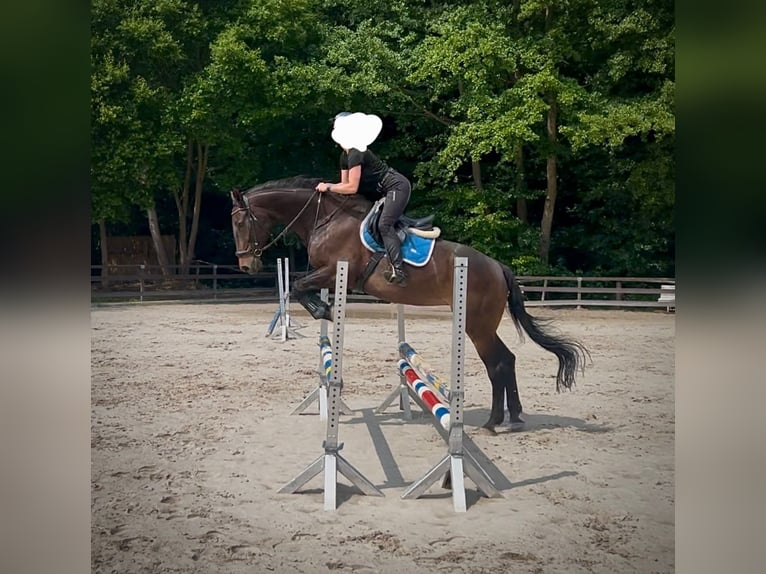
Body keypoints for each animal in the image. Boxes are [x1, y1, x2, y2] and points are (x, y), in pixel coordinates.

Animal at [230, 176, 589, 434]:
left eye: (240, 223)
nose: (246, 266)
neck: (326, 219)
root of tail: (498, 266)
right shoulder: (329, 275)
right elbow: (299, 287)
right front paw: (324, 311)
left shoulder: (337, 270)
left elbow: (297, 286)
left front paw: (325, 311)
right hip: (482, 325)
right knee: (507, 360)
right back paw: (511, 418)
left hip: (477, 326)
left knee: (498, 363)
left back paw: (493, 422)